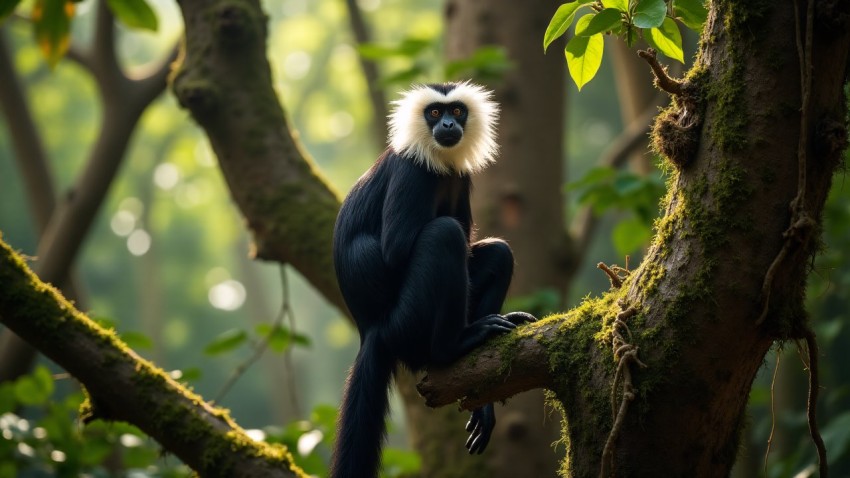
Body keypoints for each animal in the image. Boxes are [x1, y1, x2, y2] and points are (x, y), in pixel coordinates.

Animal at [328, 80, 532, 476]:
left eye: (457, 112)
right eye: (435, 113)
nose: (449, 126)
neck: (438, 163)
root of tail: (372, 329)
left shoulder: (461, 177)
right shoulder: (412, 172)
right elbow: (397, 252)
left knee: (498, 252)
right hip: (408, 323)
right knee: (442, 236)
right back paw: (452, 346)